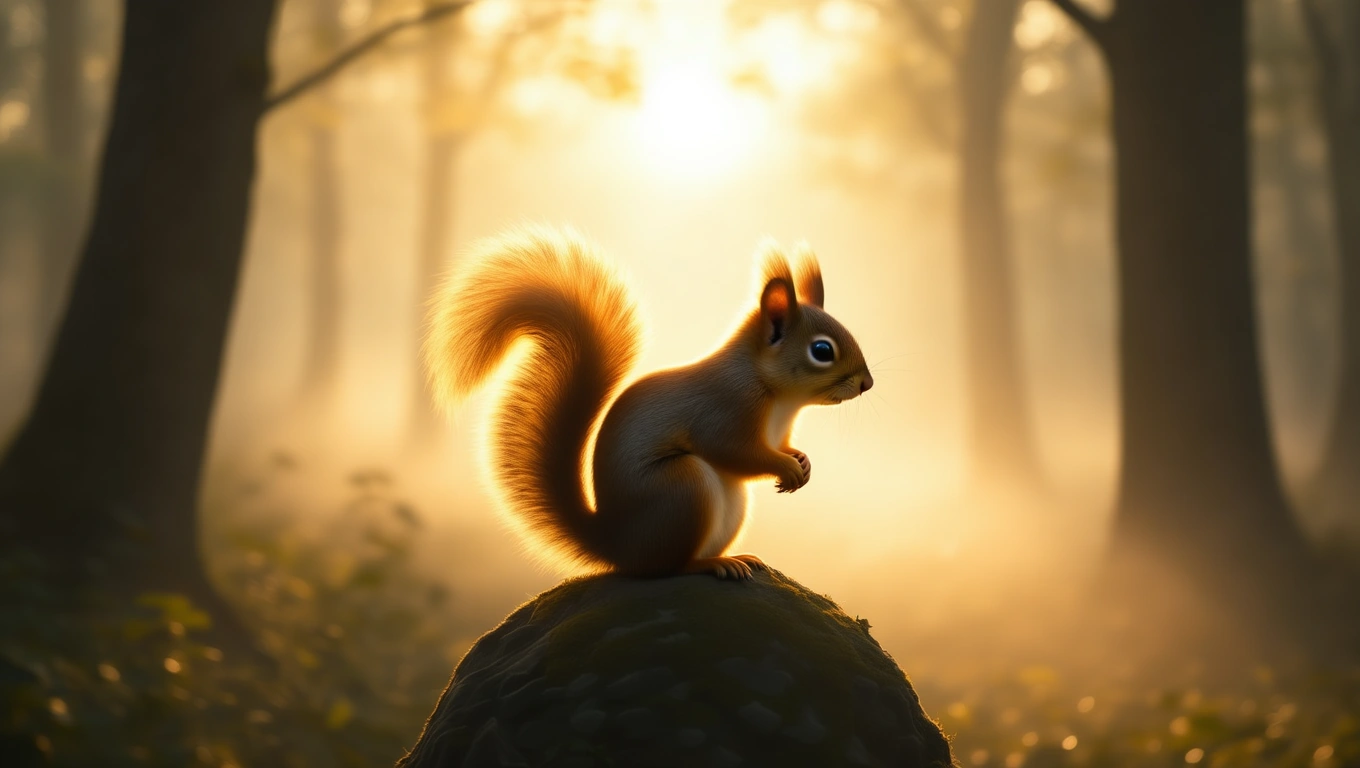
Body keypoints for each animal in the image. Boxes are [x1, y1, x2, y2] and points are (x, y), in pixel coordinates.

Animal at [424, 226, 873, 580]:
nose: (867, 383)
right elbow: (735, 450)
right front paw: (785, 467)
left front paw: (801, 461)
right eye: (822, 350)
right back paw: (712, 564)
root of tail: (615, 545)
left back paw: (734, 556)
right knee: (667, 567)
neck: (779, 398)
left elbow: (779, 446)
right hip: (682, 489)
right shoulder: (727, 407)